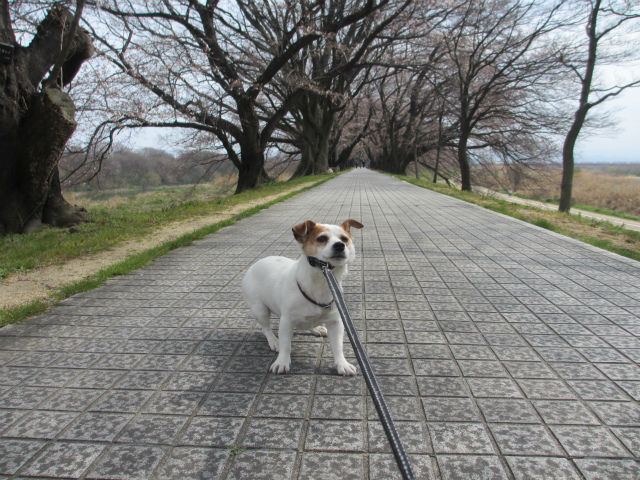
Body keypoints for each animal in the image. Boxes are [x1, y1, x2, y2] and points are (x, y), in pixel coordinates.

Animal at [240, 220, 362, 376]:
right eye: (322, 238)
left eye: (344, 239)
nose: (339, 245)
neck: (323, 281)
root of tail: (256, 263)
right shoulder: (287, 321)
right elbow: (286, 345)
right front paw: (282, 362)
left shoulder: (336, 321)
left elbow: (337, 346)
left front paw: (342, 364)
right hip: (259, 309)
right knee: (266, 328)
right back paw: (274, 341)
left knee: (309, 323)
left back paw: (316, 328)